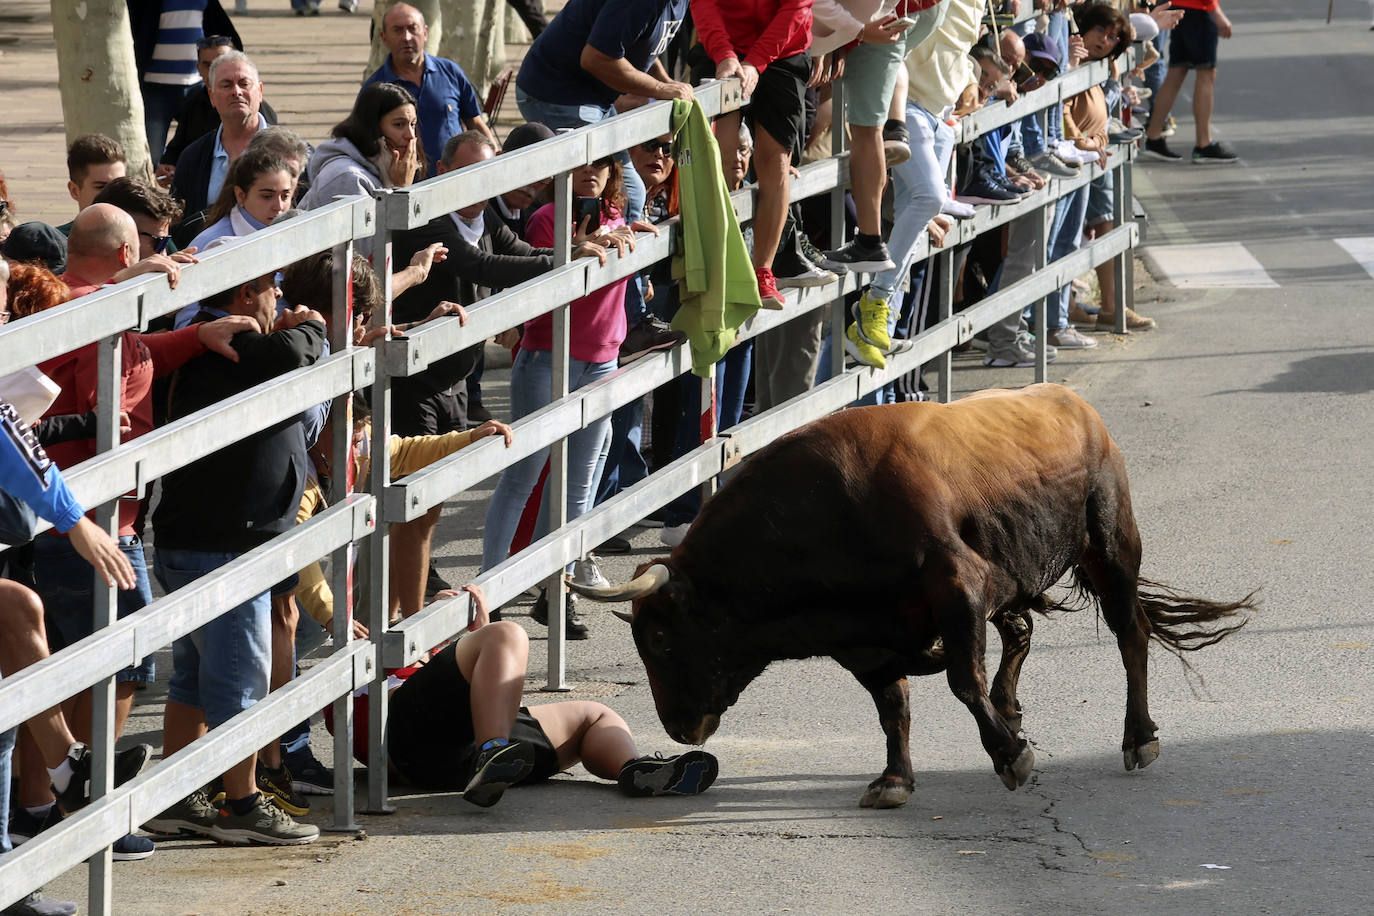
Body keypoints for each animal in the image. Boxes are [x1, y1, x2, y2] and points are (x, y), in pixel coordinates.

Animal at [568, 384, 1258, 807]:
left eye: (661, 637)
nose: (678, 727)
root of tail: (1073, 403)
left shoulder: (959, 589)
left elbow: (961, 682)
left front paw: (1012, 759)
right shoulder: (865, 640)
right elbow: (893, 706)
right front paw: (895, 779)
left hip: (1111, 546)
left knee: (1130, 634)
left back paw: (1138, 737)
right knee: (1021, 631)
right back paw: (1015, 707)